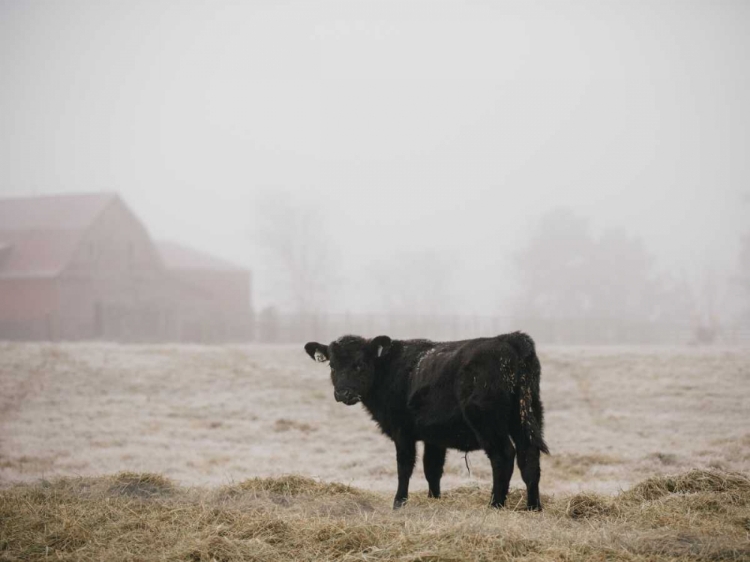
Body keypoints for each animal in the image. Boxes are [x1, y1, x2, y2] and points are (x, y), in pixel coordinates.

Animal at [306, 330, 552, 510]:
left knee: (504, 456)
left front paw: (399, 502)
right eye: (332, 365)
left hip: (487, 421)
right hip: (528, 416)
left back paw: (495, 504)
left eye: (359, 364)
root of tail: (510, 338)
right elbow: (432, 469)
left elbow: (404, 467)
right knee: (529, 457)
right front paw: (434, 500)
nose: (343, 393)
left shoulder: (402, 431)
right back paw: (533, 507)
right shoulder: (434, 436)